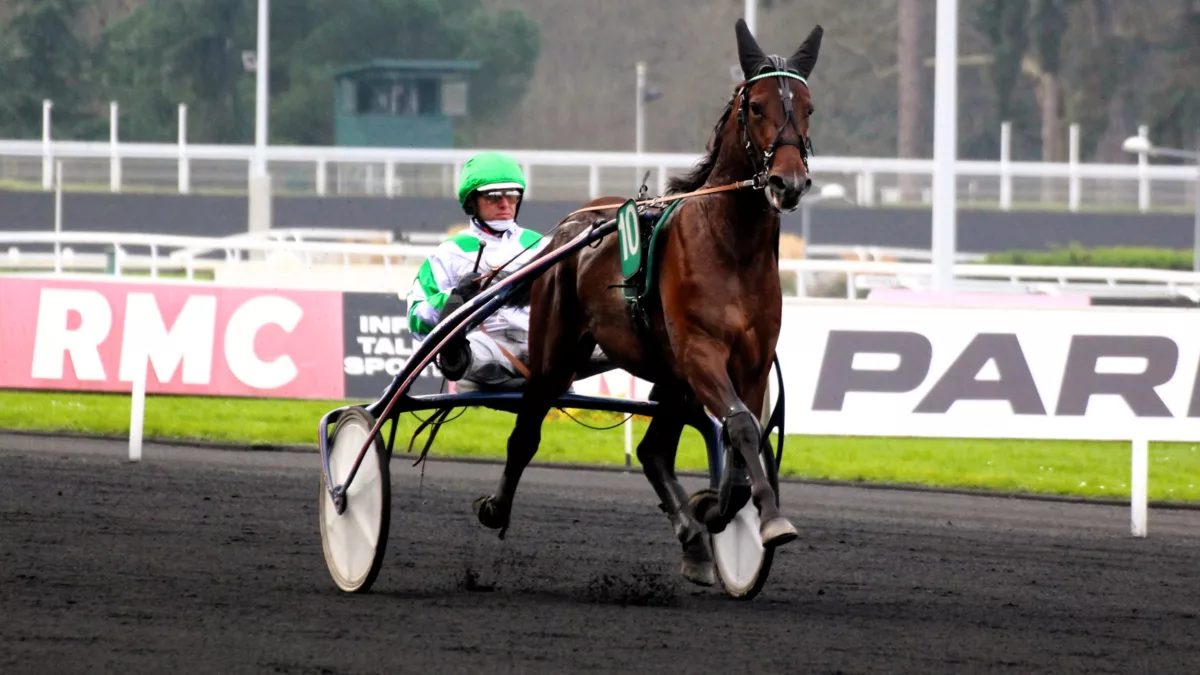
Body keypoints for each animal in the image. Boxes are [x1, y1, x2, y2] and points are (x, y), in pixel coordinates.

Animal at [472, 18, 823, 587]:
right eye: (755, 106)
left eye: (810, 106)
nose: (787, 182)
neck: (731, 247)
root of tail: (573, 224)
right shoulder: (701, 353)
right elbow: (742, 426)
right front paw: (761, 520)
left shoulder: (750, 364)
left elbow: (744, 441)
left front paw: (717, 511)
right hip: (557, 355)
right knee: (526, 432)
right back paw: (495, 507)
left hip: (671, 376)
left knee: (653, 451)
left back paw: (695, 538)